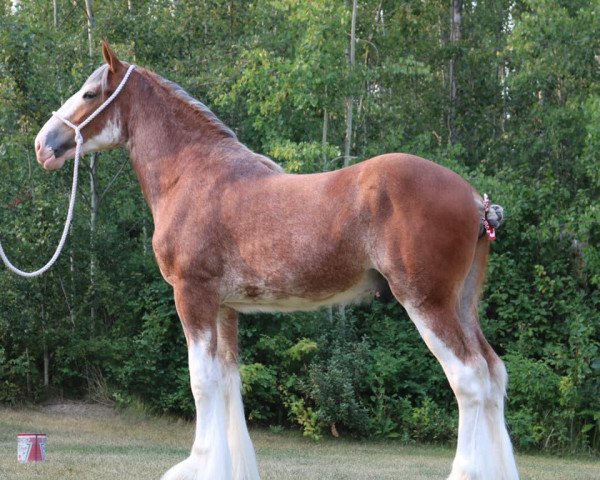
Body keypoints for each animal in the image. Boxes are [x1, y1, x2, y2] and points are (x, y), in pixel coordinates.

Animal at [34, 42, 520, 480]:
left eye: (90, 94)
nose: (43, 144)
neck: (191, 175)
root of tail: (476, 200)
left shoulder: (193, 295)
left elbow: (201, 382)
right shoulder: (225, 307)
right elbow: (228, 382)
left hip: (426, 302)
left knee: (469, 379)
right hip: (462, 304)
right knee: (493, 374)